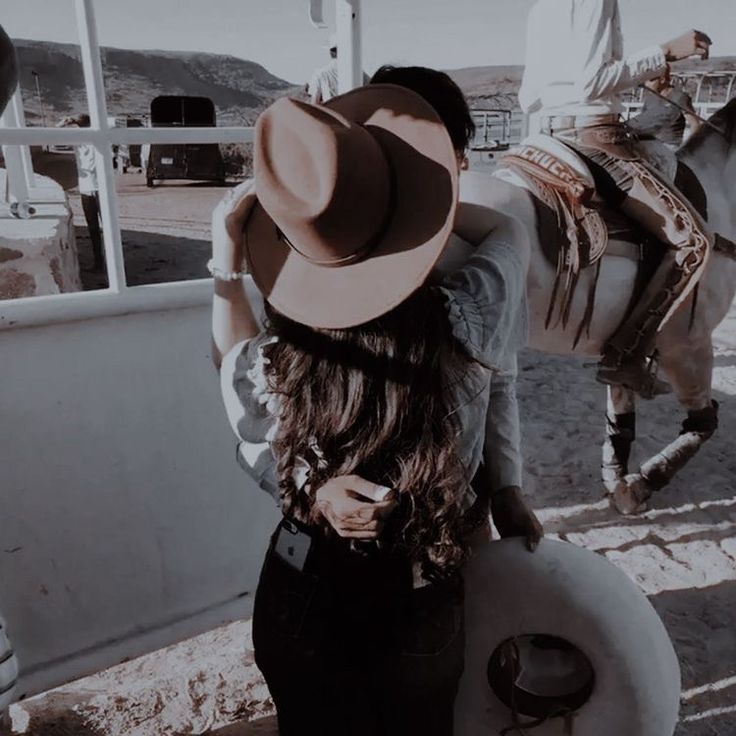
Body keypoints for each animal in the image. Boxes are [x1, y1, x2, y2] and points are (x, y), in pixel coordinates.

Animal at [460, 96, 736, 512]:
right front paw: (645, 481)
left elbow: (620, 418)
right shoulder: (689, 347)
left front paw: (620, 483)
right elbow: (704, 424)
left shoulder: (626, 348)